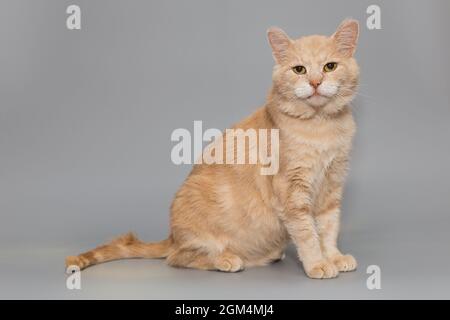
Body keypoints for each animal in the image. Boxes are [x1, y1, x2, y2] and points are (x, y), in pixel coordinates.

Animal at [67, 19, 360, 278]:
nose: (315, 83)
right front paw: (317, 264)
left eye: (330, 66)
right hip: (193, 217)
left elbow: (328, 227)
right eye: (299, 70)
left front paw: (333, 257)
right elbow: (307, 233)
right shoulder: (292, 192)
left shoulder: (332, 185)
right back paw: (226, 259)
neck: (321, 129)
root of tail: (172, 236)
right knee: (179, 257)